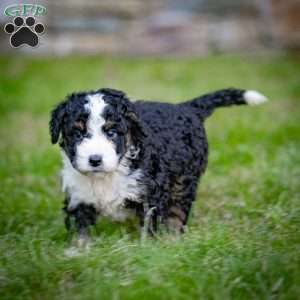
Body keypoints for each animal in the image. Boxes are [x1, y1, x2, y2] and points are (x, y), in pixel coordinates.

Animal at [49, 88, 268, 245]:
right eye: (78, 134)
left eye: (111, 132)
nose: (95, 160)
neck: (107, 176)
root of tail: (187, 108)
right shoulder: (79, 195)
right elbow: (81, 227)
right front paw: (79, 251)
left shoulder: (150, 194)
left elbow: (149, 225)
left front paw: (148, 249)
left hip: (185, 178)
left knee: (178, 210)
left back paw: (172, 238)